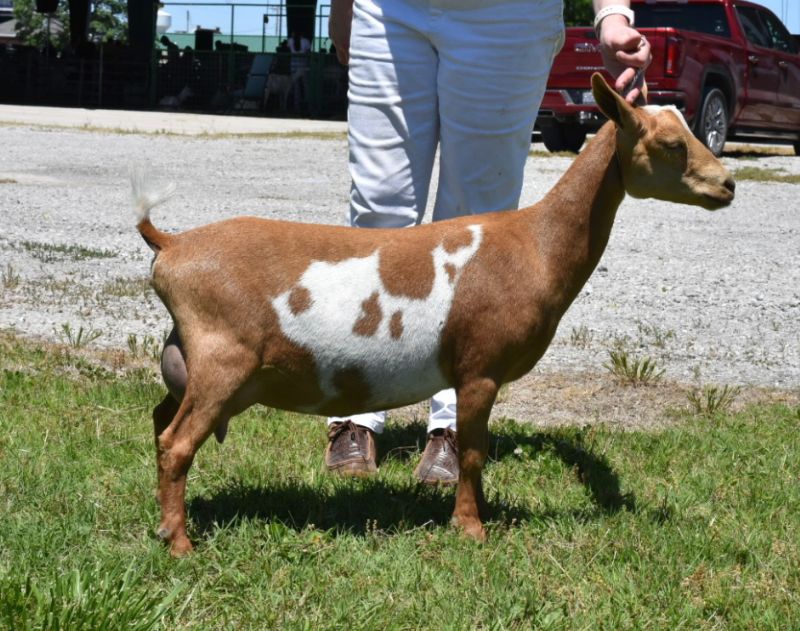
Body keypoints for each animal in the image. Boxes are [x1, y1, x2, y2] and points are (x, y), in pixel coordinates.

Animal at [136, 75, 732, 556]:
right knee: (177, 443)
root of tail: (171, 244)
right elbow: (471, 453)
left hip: (196, 365)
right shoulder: (479, 369)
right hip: (224, 360)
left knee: (161, 421)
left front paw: (480, 515)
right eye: (671, 144)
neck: (533, 245)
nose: (727, 185)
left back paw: (168, 525)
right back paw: (181, 545)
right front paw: (471, 529)